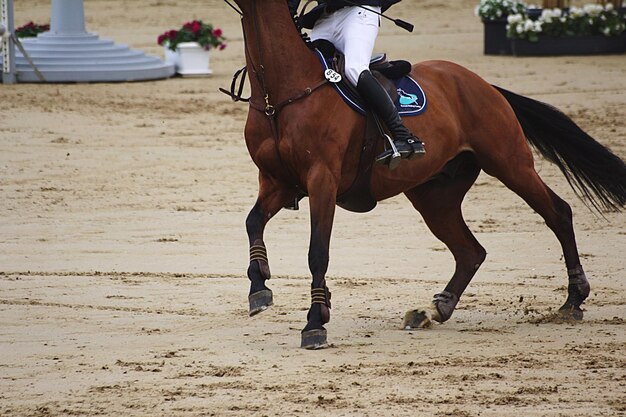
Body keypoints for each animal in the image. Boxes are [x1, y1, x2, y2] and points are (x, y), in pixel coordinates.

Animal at [225, 0, 624, 348]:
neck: (280, 93)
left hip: (510, 163)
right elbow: (252, 221)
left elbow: (317, 252)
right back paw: (435, 308)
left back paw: (573, 299)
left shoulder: (322, 180)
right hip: (434, 196)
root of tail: (483, 84)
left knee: (558, 213)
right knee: (470, 251)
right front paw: (259, 288)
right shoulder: (276, 181)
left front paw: (315, 322)